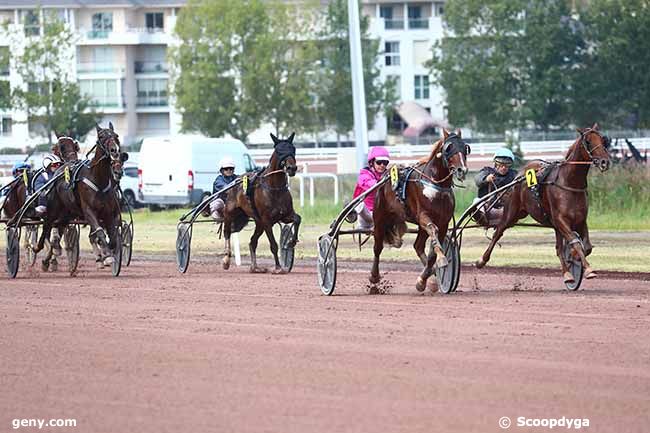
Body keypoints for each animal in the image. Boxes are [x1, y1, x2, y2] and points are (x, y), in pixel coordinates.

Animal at [220, 132, 302, 274]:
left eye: (293, 149)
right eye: (279, 151)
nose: (292, 168)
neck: (275, 188)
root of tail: (235, 181)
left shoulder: (285, 215)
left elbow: (297, 219)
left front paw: (291, 242)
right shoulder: (267, 220)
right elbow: (273, 245)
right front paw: (278, 267)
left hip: (258, 223)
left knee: (252, 242)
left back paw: (255, 267)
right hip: (230, 213)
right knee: (227, 232)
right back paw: (226, 259)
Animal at [368, 128, 468, 290]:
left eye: (465, 147)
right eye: (449, 148)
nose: (462, 170)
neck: (435, 184)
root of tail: (384, 177)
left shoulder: (444, 222)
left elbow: (433, 250)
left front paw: (423, 279)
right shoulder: (423, 216)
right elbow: (433, 229)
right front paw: (441, 260)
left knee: (418, 246)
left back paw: (431, 277)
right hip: (380, 217)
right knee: (377, 247)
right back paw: (374, 276)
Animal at [474, 123, 612, 282]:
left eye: (603, 140)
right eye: (588, 142)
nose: (605, 162)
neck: (570, 182)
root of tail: (519, 175)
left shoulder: (580, 220)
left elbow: (586, 246)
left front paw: (574, 257)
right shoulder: (560, 220)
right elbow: (576, 243)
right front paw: (588, 269)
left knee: (558, 248)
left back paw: (567, 274)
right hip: (512, 212)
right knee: (498, 232)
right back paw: (481, 260)